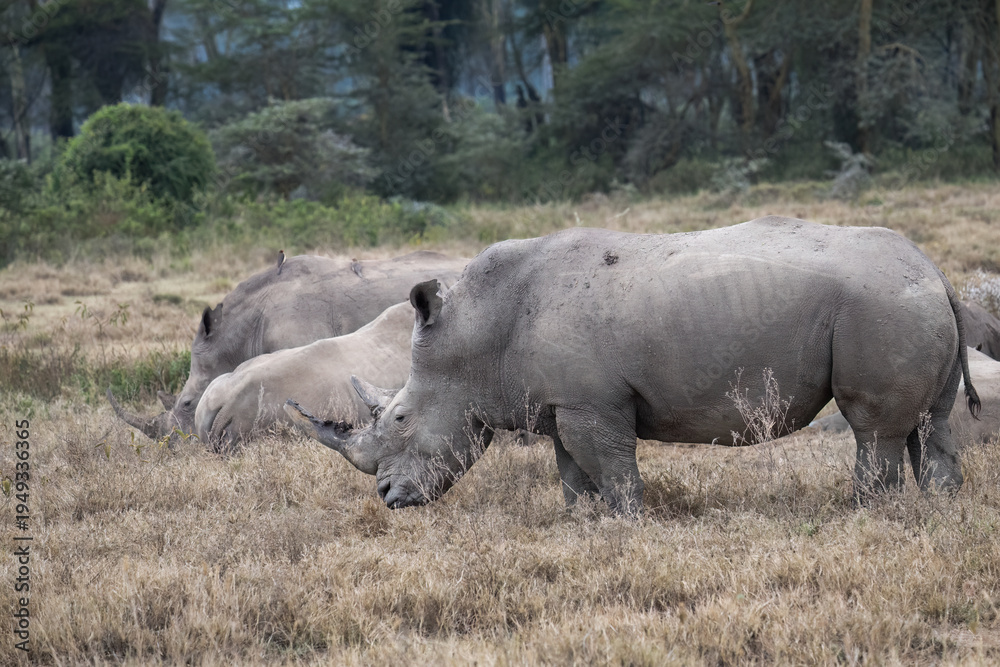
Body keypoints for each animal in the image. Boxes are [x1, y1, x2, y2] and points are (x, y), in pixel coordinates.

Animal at [285, 219, 980, 514]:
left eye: (401, 418)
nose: (387, 500)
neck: (478, 335)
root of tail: (934, 270)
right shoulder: (562, 400)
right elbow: (571, 468)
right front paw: (580, 521)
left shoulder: (594, 402)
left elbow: (611, 464)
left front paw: (627, 521)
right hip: (908, 301)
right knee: (931, 424)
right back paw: (939, 511)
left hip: (879, 304)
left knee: (875, 426)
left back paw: (863, 513)